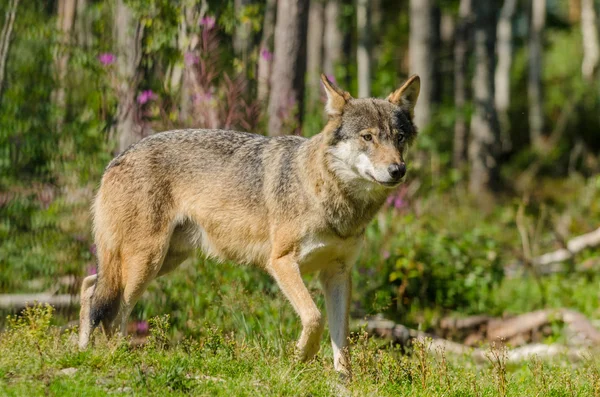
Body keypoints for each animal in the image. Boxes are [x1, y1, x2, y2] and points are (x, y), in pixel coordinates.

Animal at [77, 73, 420, 374]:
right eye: (368, 137)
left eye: (399, 138)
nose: (398, 170)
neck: (329, 196)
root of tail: (117, 158)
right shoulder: (281, 262)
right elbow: (314, 319)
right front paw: (298, 361)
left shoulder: (337, 273)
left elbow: (341, 339)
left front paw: (343, 381)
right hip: (145, 263)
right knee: (112, 309)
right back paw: (116, 357)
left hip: (163, 261)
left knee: (90, 286)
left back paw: (81, 351)